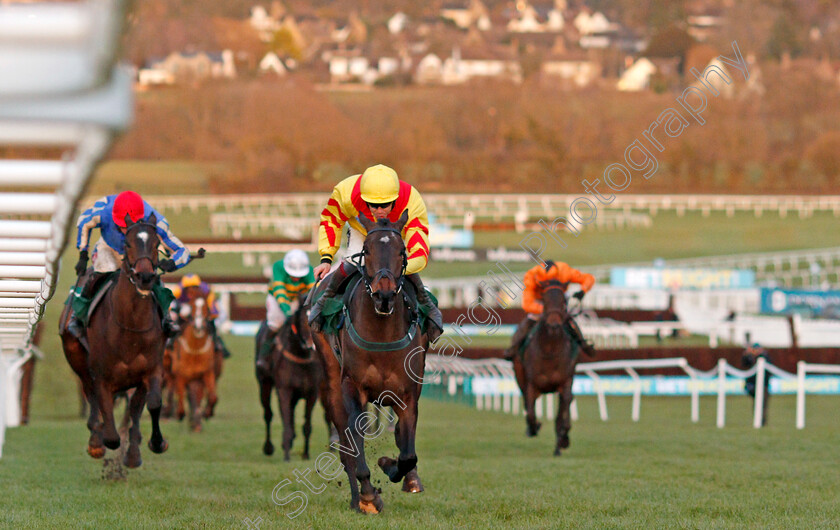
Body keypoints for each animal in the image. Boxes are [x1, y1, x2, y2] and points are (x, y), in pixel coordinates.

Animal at [59, 214, 169, 466]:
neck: (131, 325)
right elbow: (109, 427)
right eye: (127, 243)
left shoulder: (151, 370)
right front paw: (100, 441)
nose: (145, 277)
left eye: (156, 243)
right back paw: (95, 440)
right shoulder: (101, 376)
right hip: (77, 360)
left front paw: (152, 444)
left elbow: (152, 404)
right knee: (90, 396)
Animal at [254, 304, 334, 460]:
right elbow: (286, 421)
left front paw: (305, 454)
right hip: (265, 384)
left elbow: (306, 425)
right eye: (302, 320)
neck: (302, 355)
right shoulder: (284, 389)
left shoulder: (312, 392)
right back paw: (269, 447)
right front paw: (286, 453)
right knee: (268, 414)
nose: (311, 345)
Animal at [308, 210, 426, 512]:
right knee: (345, 441)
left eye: (401, 251)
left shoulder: (408, 393)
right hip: (331, 379)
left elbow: (408, 453)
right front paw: (369, 494)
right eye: (368, 251)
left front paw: (393, 467)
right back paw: (359, 498)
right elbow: (354, 440)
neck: (381, 333)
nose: (384, 294)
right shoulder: (353, 388)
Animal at [508, 278, 588, 456]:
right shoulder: (531, 385)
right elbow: (531, 413)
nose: (554, 325)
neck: (550, 351)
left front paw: (562, 441)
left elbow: (563, 414)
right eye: (544, 300)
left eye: (564, 301)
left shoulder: (565, 383)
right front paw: (533, 428)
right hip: (519, 375)